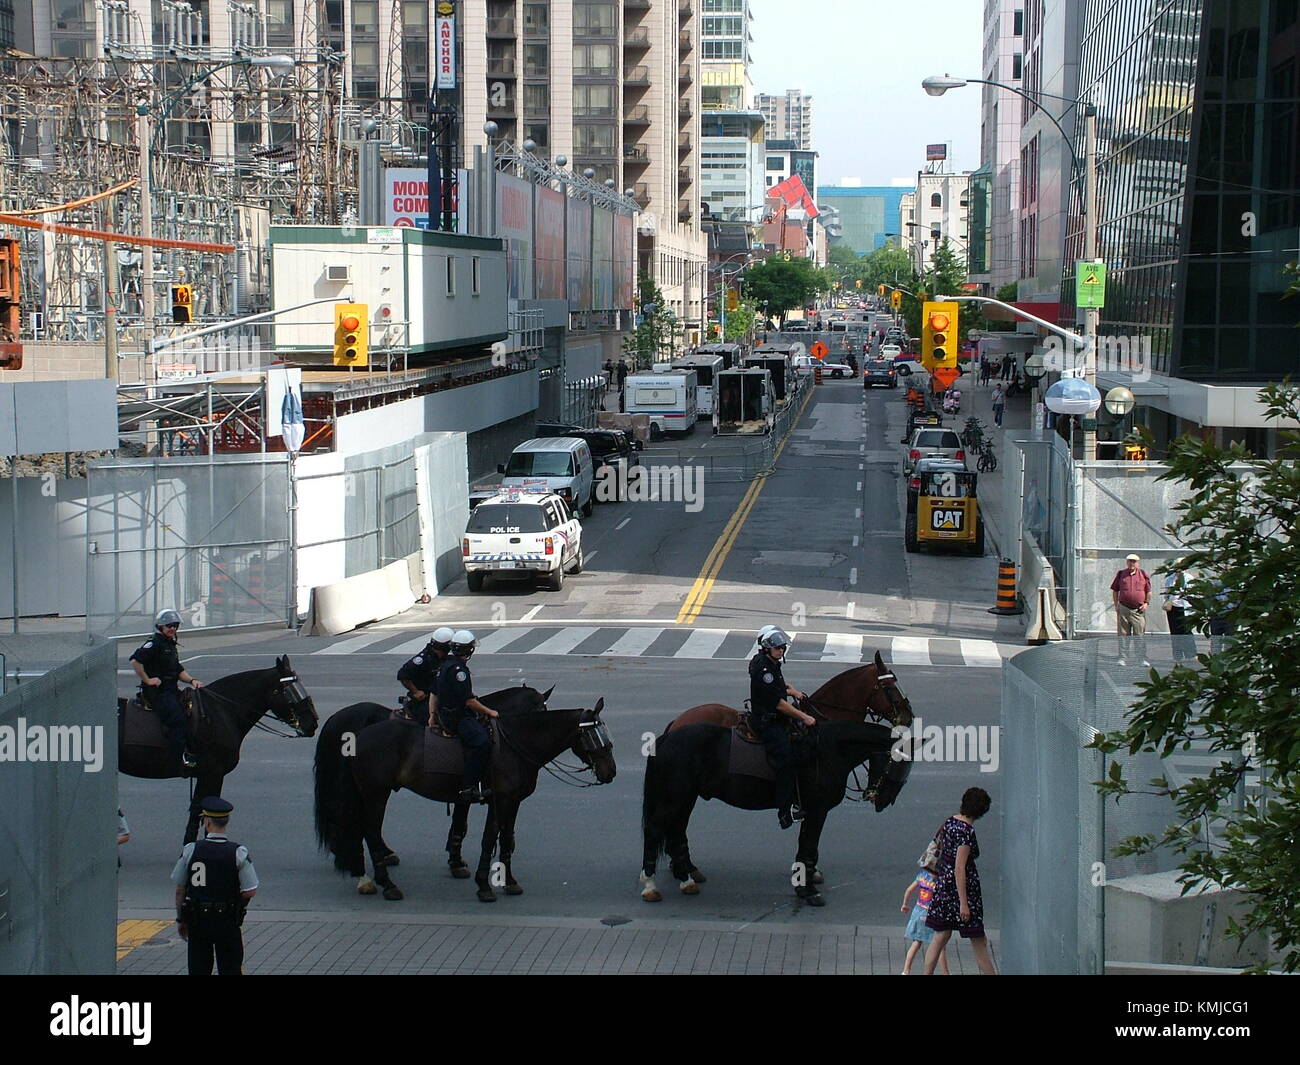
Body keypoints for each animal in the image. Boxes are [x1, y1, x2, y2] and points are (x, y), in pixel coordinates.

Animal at [118, 652, 318, 847]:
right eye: (291, 691)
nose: (313, 723)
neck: (220, 711)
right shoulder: (213, 773)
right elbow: (202, 810)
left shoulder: (210, 775)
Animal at [317, 686, 616, 905]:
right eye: (594, 736)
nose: (610, 772)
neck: (515, 743)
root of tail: (357, 734)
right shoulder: (499, 800)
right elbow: (488, 839)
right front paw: (484, 884)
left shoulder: (512, 802)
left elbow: (505, 839)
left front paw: (506, 880)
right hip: (376, 794)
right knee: (370, 831)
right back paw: (385, 883)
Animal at [642, 717, 915, 910]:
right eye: (900, 764)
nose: (884, 801)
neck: (827, 750)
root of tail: (667, 737)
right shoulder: (817, 811)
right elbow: (808, 848)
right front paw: (808, 891)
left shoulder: (811, 812)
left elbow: (807, 849)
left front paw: (804, 885)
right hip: (674, 798)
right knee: (655, 830)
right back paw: (650, 885)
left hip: (685, 798)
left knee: (676, 830)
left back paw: (685, 879)